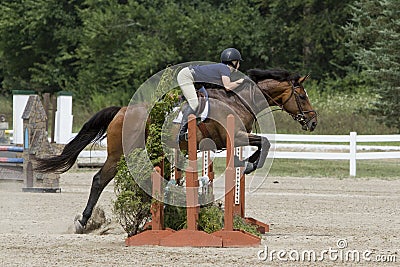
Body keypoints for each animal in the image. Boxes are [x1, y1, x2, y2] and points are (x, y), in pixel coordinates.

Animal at [34, 68, 318, 233]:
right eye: (302, 96)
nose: (313, 122)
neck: (238, 100)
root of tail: (122, 111)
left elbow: (263, 143)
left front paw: (247, 164)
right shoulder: (234, 136)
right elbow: (265, 143)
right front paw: (249, 164)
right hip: (118, 154)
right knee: (98, 180)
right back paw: (83, 222)